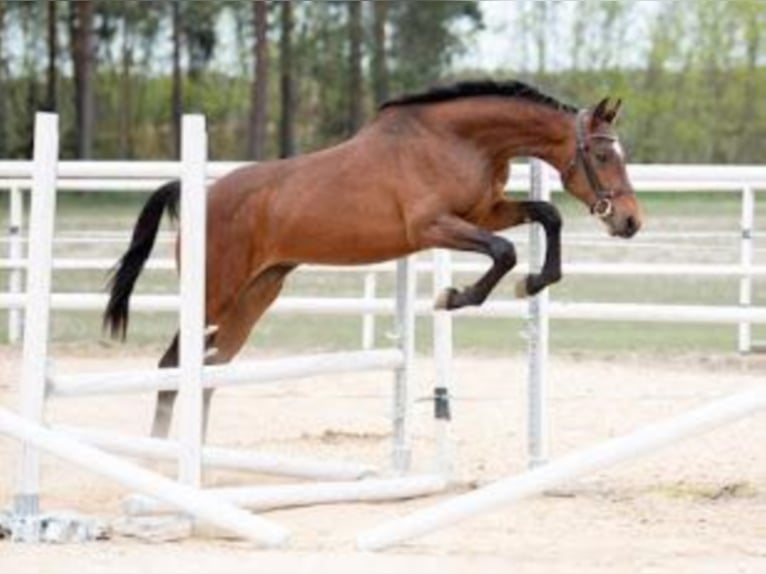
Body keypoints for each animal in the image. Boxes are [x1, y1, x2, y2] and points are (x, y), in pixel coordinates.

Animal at [102, 81, 640, 438]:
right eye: (603, 156)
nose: (631, 221)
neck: (462, 140)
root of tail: (198, 195)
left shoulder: (484, 212)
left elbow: (548, 215)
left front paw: (534, 281)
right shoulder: (432, 226)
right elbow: (503, 251)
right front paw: (455, 296)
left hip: (257, 293)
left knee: (211, 369)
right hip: (215, 292)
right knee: (173, 364)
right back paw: (162, 453)